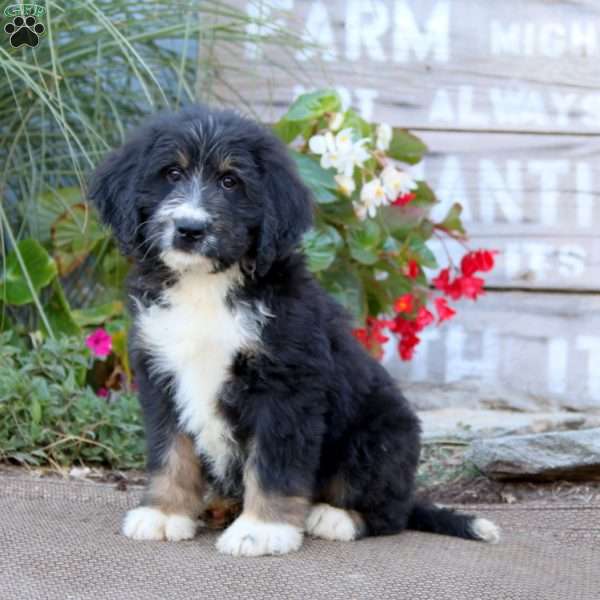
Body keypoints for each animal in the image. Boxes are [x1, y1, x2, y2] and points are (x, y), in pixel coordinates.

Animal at [89, 104, 500, 556]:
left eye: (231, 181)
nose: (190, 229)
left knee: (388, 511)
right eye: (172, 174)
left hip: (380, 433)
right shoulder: (162, 374)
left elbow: (273, 463)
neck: (207, 286)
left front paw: (261, 529)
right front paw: (165, 512)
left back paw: (334, 517)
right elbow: (171, 452)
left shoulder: (285, 384)